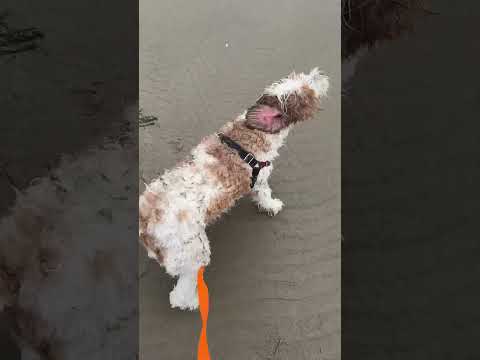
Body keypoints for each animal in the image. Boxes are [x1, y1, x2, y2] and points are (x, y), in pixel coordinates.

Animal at [137, 68, 328, 310]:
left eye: (298, 77)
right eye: (304, 94)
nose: (319, 74)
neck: (251, 134)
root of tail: (146, 221)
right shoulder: (261, 180)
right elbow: (264, 194)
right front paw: (272, 205)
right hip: (195, 252)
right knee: (180, 292)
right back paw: (192, 301)